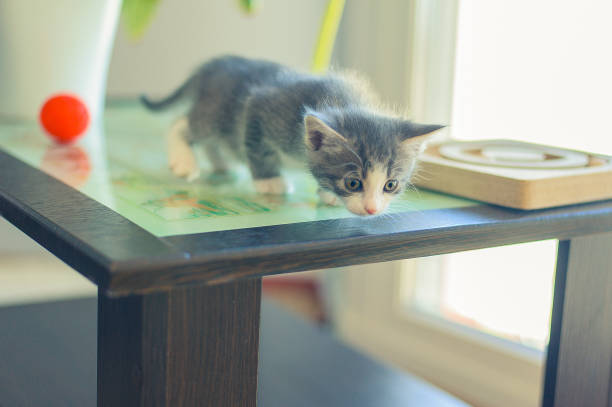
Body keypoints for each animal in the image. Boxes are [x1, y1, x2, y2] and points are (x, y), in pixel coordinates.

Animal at [142, 56, 442, 218]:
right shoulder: (262, 105)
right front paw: (269, 181)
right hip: (216, 113)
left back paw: (220, 163)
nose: (372, 210)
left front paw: (327, 194)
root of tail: (212, 65)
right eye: (353, 182)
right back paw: (184, 162)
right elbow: (258, 147)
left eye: (390, 185)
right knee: (183, 123)